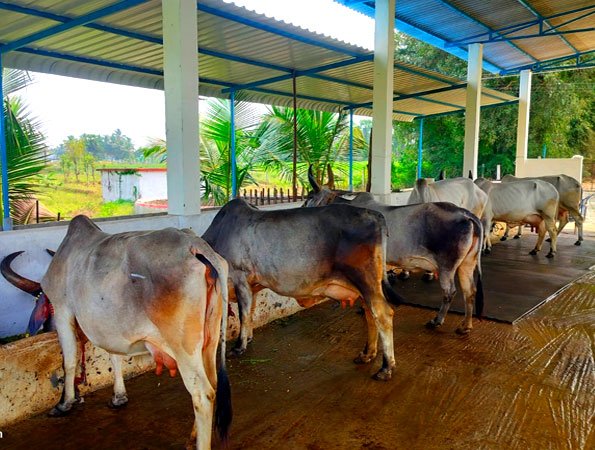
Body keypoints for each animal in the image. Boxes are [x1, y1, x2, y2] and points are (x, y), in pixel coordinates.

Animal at [4, 216, 233, 448]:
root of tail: (194, 245)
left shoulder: (62, 309)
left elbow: (68, 361)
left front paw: (64, 403)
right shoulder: (108, 327)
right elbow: (115, 357)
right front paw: (119, 397)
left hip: (184, 347)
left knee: (202, 394)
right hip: (210, 340)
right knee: (213, 383)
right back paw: (193, 436)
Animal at [203, 199, 402, 382]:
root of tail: (375, 215)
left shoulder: (240, 278)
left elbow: (243, 315)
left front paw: (238, 347)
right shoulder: (253, 285)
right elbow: (250, 312)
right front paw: (249, 338)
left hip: (366, 281)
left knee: (383, 314)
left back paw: (386, 368)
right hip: (365, 287)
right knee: (370, 314)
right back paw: (367, 354)